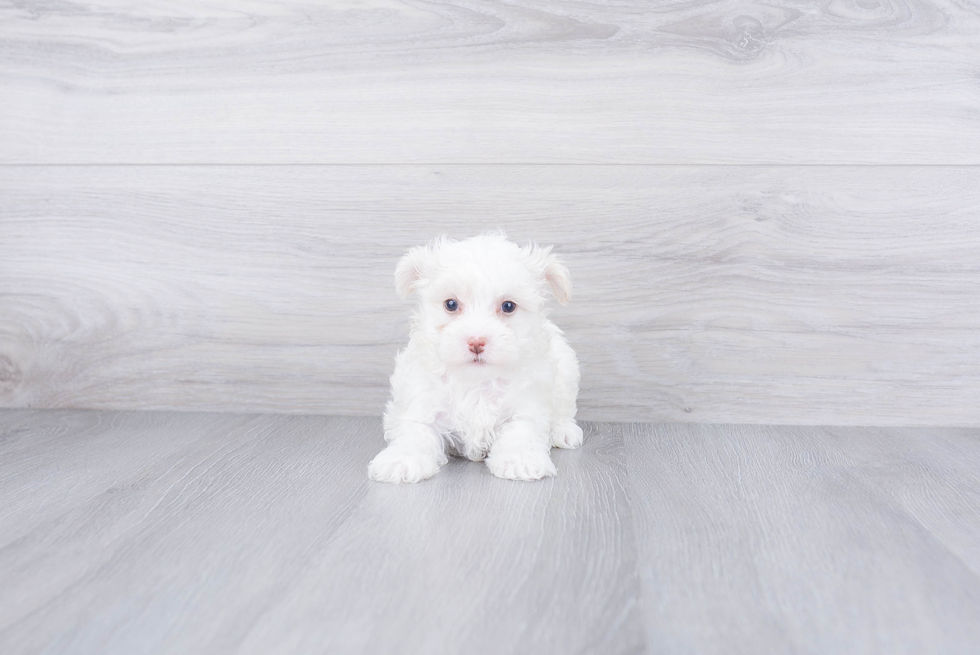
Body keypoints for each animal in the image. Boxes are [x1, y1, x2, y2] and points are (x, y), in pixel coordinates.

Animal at [368, 233, 580, 484]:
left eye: (508, 306)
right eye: (451, 304)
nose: (476, 341)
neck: (476, 381)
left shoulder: (527, 404)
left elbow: (521, 429)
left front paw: (519, 460)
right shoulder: (423, 400)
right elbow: (416, 431)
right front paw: (401, 460)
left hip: (566, 368)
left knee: (564, 408)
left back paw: (564, 431)